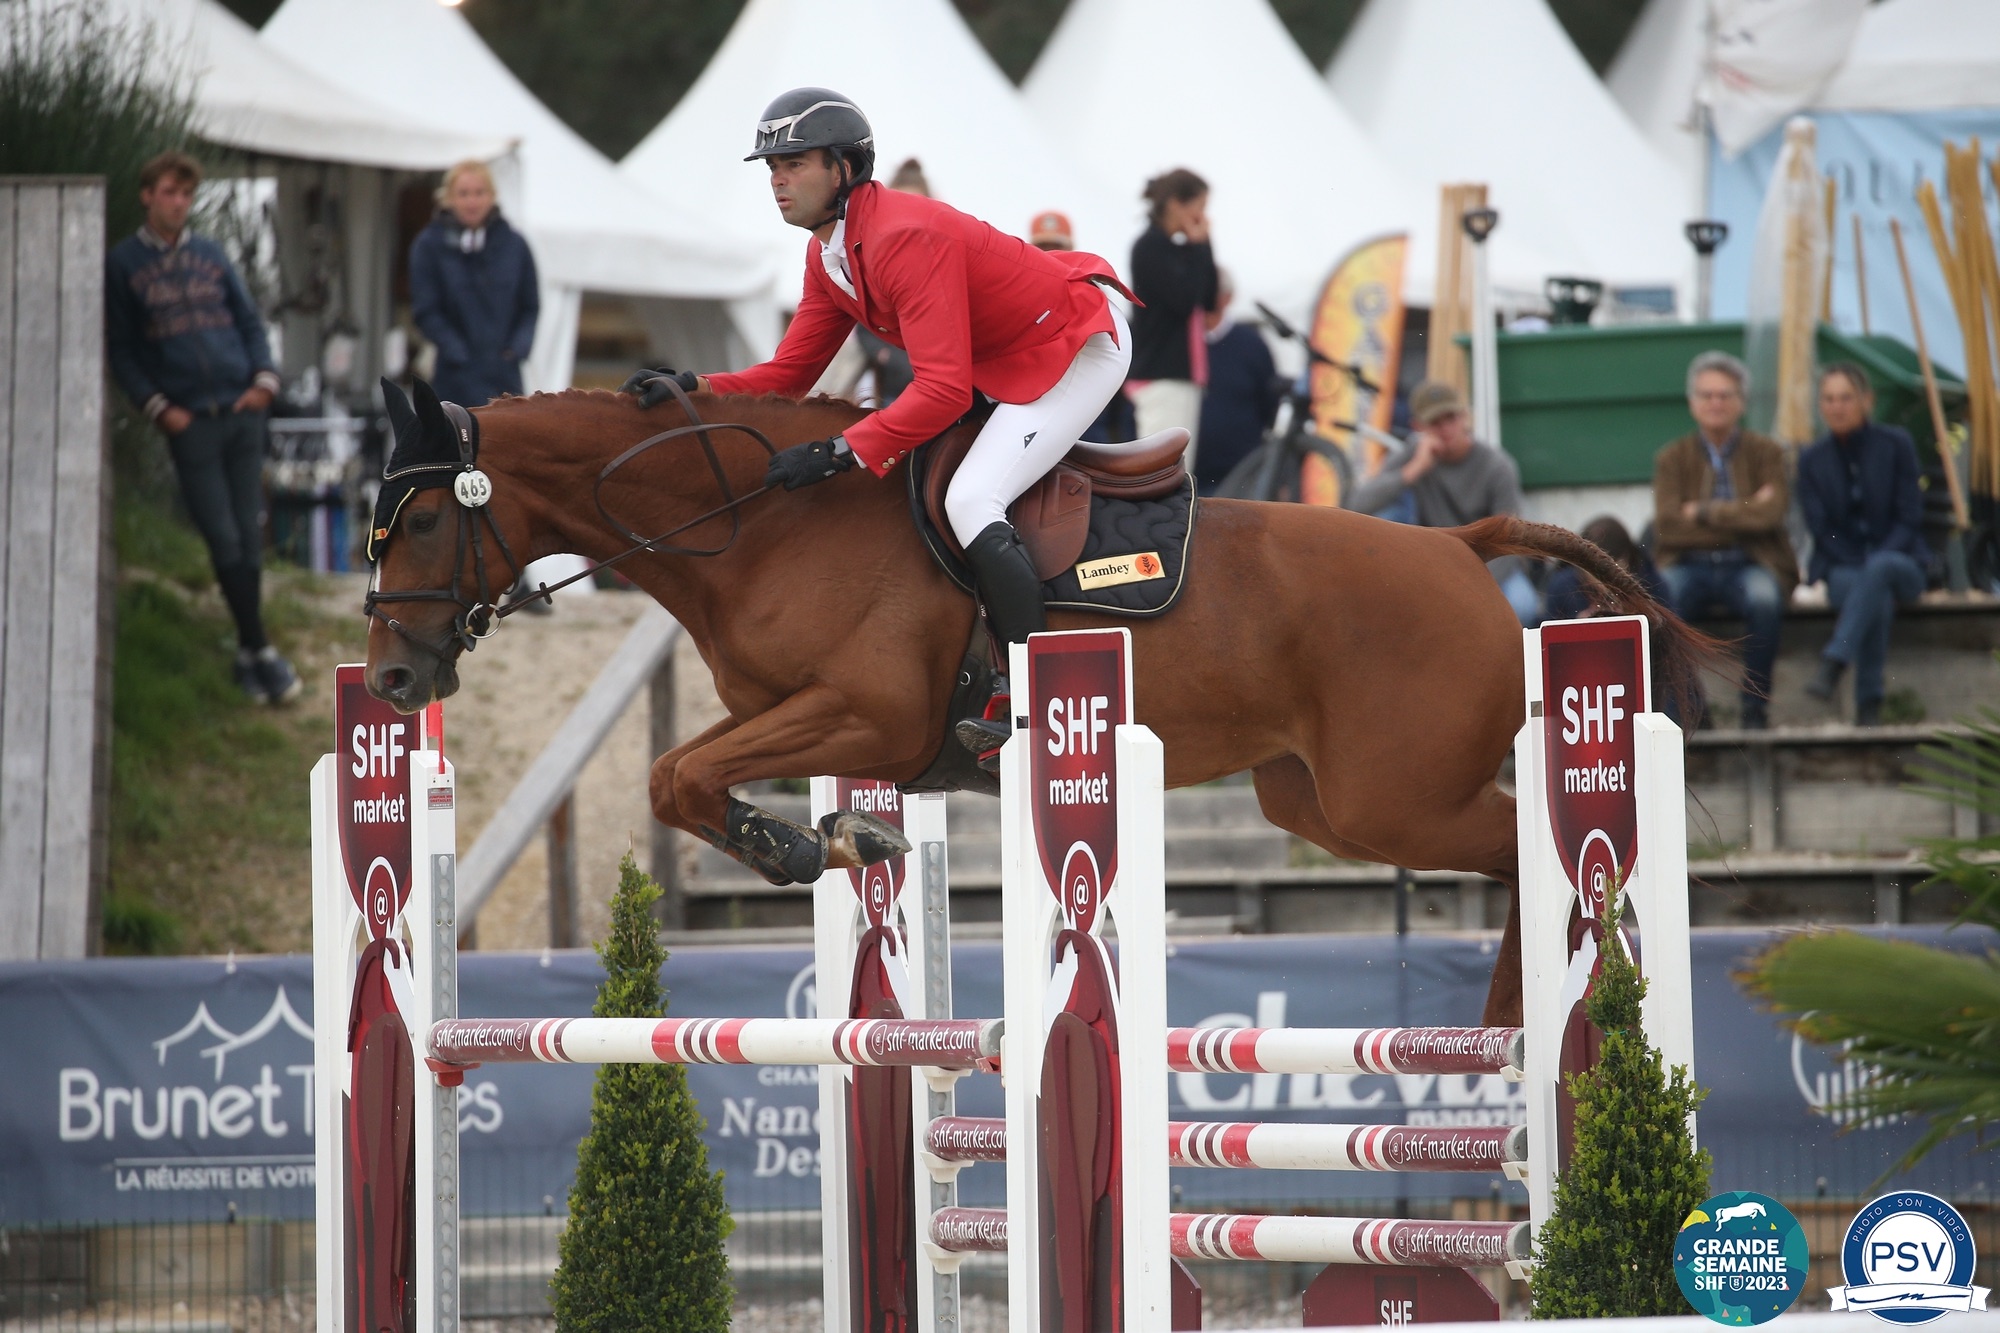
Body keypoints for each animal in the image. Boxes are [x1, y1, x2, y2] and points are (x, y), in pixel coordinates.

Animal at [364, 382, 1704, 1016]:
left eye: (422, 519)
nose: (390, 677)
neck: (763, 522)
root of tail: (1457, 546)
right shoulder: (793, 713)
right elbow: (677, 774)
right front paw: (837, 837)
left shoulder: (873, 713)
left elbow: (681, 772)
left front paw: (804, 843)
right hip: (1315, 802)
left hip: (1396, 798)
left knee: (1533, 848)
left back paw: (1524, 1018)